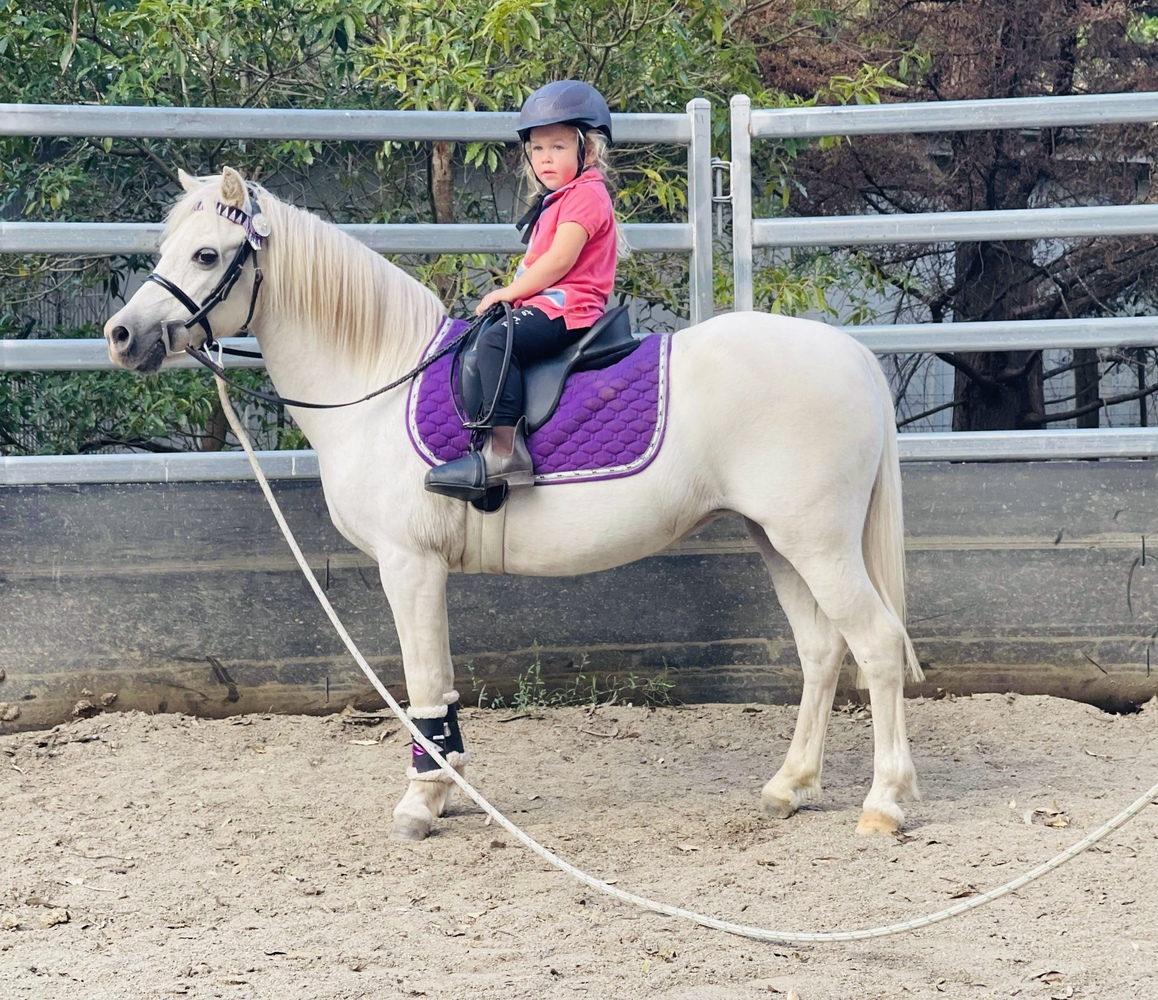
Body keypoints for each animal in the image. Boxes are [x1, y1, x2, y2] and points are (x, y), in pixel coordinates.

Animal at [104, 166, 924, 842]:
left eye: (207, 255)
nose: (121, 335)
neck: (377, 384)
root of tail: (849, 354)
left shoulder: (410, 566)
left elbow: (424, 681)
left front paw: (421, 803)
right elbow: (438, 684)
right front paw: (446, 790)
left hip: (815, 542)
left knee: (878, 646)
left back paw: (884, 803)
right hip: (776, 539)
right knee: (822, 652)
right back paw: (791, 787)